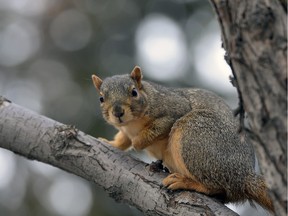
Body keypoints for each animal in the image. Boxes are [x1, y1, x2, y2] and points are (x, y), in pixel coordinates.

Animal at [91, 66, 274, 213]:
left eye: (134, 92)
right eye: (101, 98)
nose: (118, 112)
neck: (132, 125)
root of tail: (244, 175)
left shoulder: (174, 109)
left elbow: (156, 129)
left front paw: (138, 143)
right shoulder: (124, 131)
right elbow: (123, 140)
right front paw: (109, 143)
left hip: (193, 136)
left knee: (216, 186)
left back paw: (184, 181)